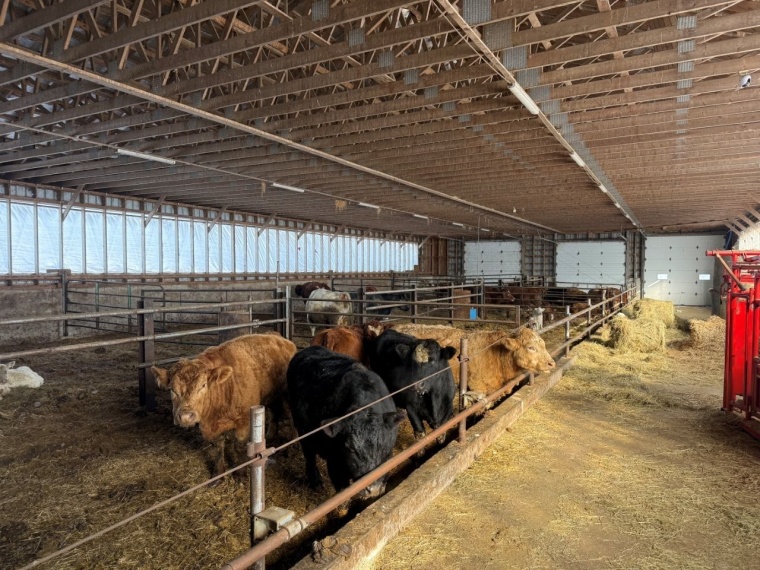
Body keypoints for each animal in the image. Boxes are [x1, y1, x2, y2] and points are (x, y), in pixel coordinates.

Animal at [152, 333, 297, 479]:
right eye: (172, 389)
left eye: (203, 385)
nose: (186, 416)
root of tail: (279, 338)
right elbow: (218, 448)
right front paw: (218, 474)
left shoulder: (244, 422)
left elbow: (239, 447)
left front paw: (241, 474)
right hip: (272, 394)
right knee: (274, 412)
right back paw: (271, 435)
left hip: (288, 396)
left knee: (292, 419)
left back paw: (292, 447)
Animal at [287, 346, 405, 513]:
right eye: (350, 448)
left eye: (383, 447)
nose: (372, 487)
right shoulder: (334, 463)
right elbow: (342, 495)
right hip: (302, 428)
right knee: (309, 454)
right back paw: (316, 482)